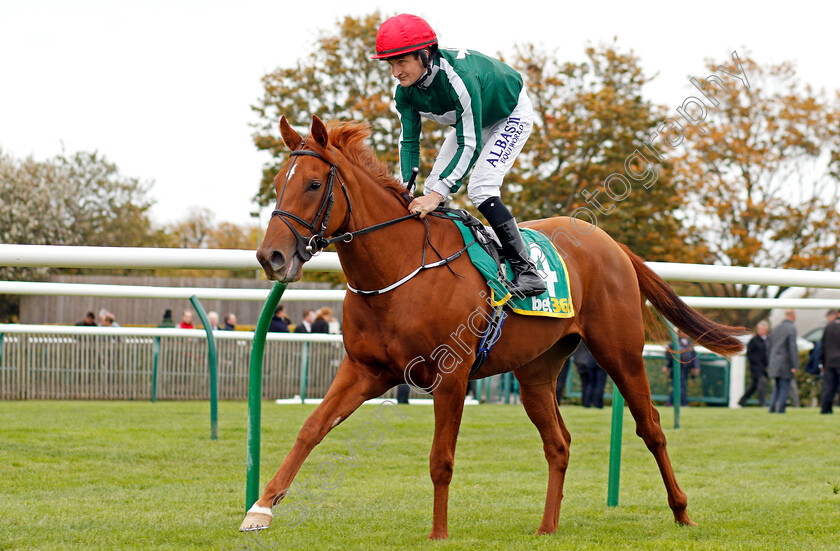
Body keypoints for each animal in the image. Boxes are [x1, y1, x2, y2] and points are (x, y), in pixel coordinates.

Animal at [240, 115, 744, 540]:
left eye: (312, 184)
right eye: (278, 184)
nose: (271, 256)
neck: (398, 270)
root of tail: (613, 244)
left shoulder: (451, 376)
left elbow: (441, 459)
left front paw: (439, 535)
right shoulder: (364, 370)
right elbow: (311, 427)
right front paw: (260, 509)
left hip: (620, 352)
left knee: (651, 427)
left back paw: (682, 512)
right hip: (537, 371)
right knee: (558, 443)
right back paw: (547, 528)